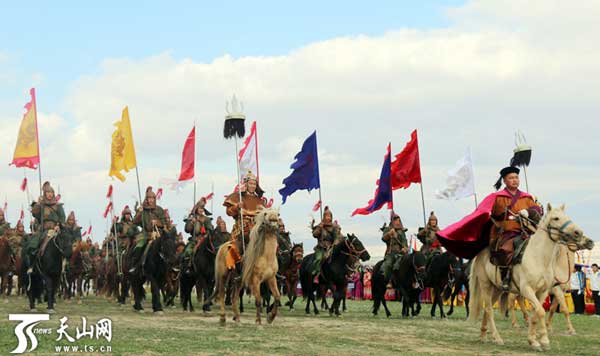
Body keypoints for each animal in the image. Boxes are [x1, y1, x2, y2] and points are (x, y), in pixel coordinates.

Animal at [468, 204, 596, 352]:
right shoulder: (529, 289)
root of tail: (480, 253)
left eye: (567, 216)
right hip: (486, 285)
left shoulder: (544, 292)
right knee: (490, 309)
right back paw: (498, 337)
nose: (580, 233)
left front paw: (534, 340)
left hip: (497, 288)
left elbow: (539, 312)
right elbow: (545, 311)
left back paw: (484, 335)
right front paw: (545, 340)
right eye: (556, 218)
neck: (539, 257)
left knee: (488, 310)